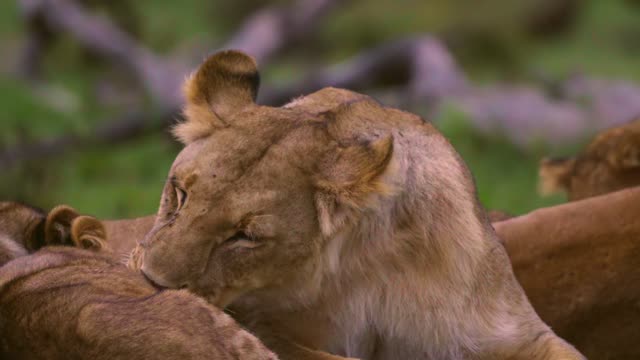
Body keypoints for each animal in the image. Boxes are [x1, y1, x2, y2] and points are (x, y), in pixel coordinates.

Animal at [127, 50, 584, 360]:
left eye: (245, 236)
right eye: (180, 193)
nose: (149, 281)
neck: (369, 265)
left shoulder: (515, 333)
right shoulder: (265, 324)